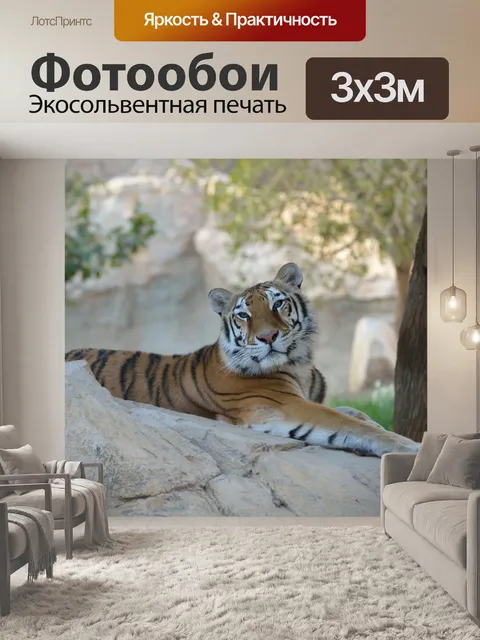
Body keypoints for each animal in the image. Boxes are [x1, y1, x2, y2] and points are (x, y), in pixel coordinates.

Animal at [66, 263, 420, 458]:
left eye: (278, 305)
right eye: (244, 315)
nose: (267, 337)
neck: (301, 363)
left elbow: (356, 414)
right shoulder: (286, 405)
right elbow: (351, 424)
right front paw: (412, 447)